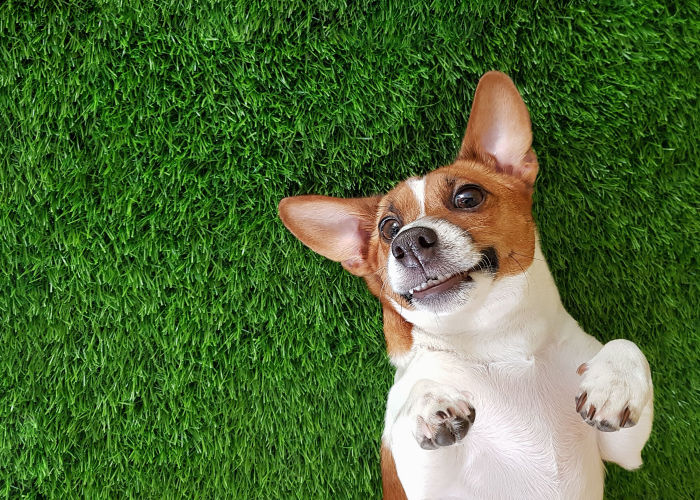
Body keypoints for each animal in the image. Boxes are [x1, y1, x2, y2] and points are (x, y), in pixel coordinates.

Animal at [276, 71, 652, 500]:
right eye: (388, 227)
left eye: (468, 197)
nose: (408, 241)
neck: (494, 340)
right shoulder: (423, 484)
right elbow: (418, 398)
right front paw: (429, 402)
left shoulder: (625, 452)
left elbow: (628, 345)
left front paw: (616, 381)